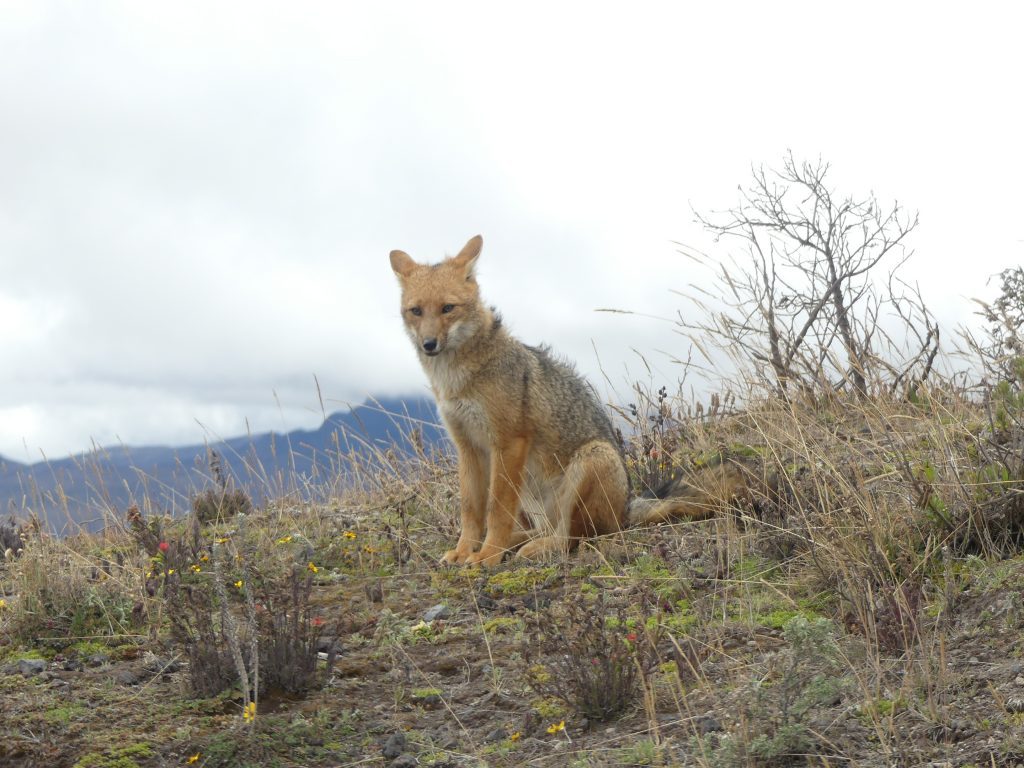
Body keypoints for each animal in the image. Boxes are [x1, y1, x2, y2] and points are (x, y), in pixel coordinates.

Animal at [391, 234, 761, 565]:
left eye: (448, 309)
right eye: (416, 311)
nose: (428, 344)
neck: (457, 379)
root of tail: (626, 510)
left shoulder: (508, 442)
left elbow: (496, 509)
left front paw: (488, 555)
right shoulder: (468, 447)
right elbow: (471, 510)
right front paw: (465, 551)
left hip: (592, 458)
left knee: (573, 538)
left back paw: (530, 548)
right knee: (547, 530)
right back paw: (518, 542)